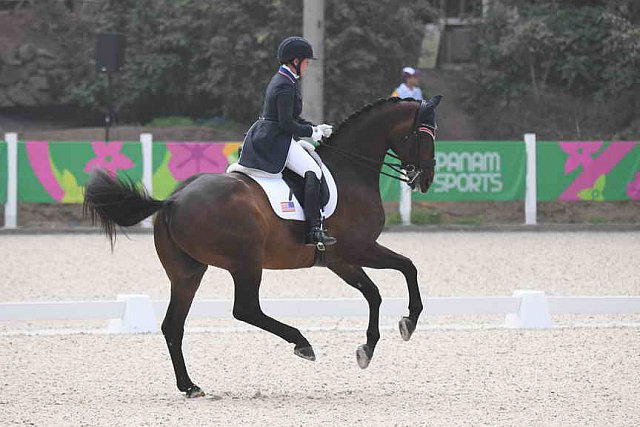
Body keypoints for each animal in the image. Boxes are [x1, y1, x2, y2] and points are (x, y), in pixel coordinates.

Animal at [84, 94, 440, 398]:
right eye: (425, 136)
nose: (426, 180)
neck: (350, 171)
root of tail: (173, 200)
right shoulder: (358, 249)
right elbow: (407, 267)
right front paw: (409, 322)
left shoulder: (341, 259)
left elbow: (374, 292)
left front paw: (367, 349)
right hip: (246, 262)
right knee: (245, 309)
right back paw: (302, 343)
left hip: (188, 272)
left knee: (174, 325)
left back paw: (189, 386)